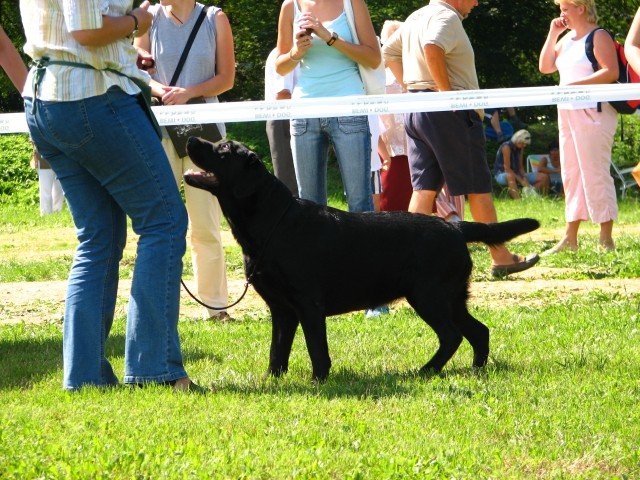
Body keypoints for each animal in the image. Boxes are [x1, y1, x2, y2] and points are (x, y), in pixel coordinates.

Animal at [185, 138, 540, 382]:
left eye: (223, 149)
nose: (190, 138)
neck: (273, 222)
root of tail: (453, 226)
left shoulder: (308, 303)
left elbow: (317, 348)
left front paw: (318, 381)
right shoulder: (282, 309)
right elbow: (278, 350)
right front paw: (272, 380)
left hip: (428, 295)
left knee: (452, 335)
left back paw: (424, 370)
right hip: (450, 297)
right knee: (478, 331)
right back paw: (475, 369)